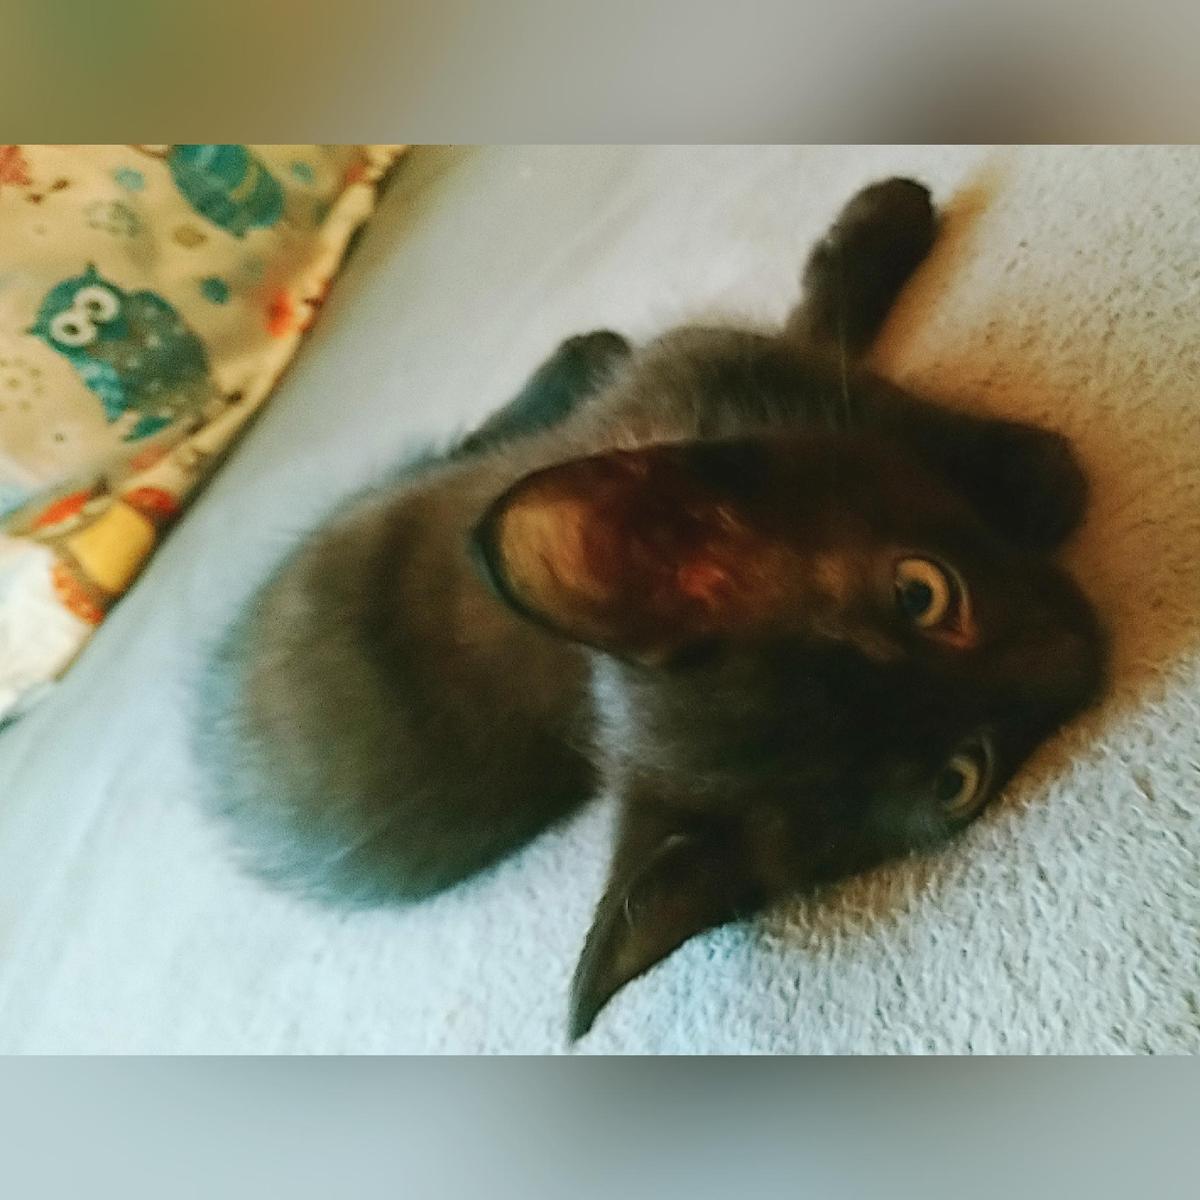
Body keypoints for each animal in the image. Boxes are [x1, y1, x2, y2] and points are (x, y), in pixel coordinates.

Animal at [196, 178, 1107, 1040]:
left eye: (920, 592)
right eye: (958, 781)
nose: (1084, 652)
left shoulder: (708, 362)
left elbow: (840, 363)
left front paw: (884, 227)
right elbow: (836, 352)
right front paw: (1032, 471)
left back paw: (578, 361)